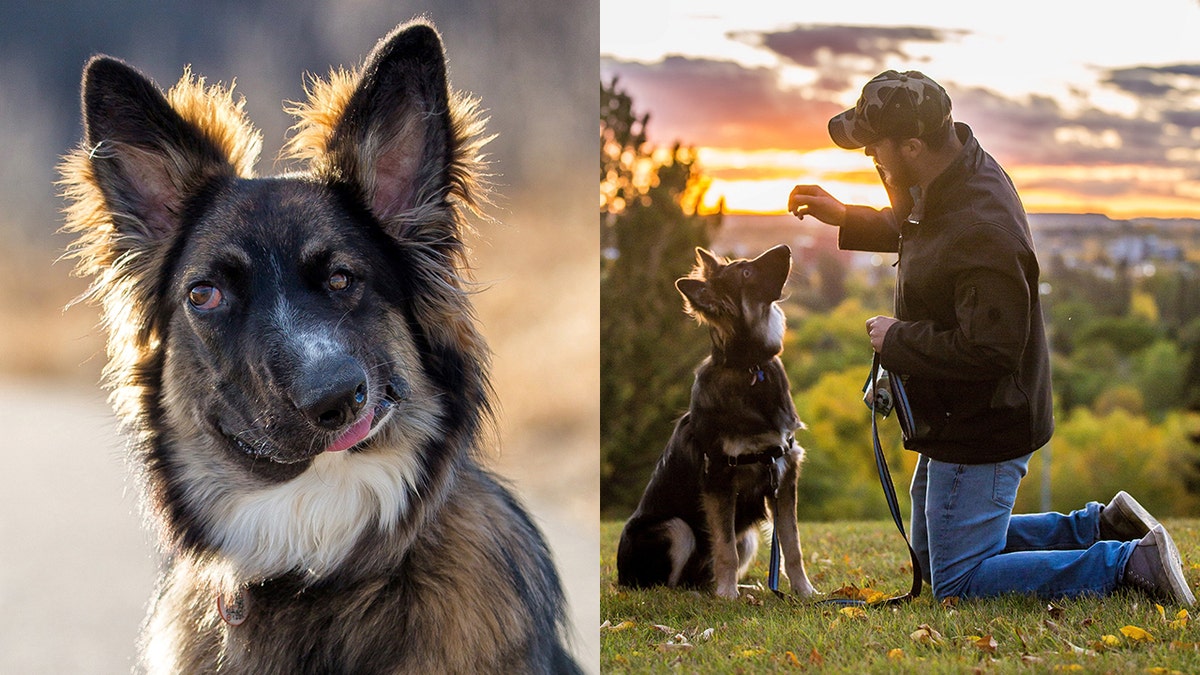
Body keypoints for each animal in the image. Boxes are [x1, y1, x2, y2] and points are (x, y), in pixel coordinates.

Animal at [619, 243, 816, 595]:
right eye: (746, 272)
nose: (786, 247)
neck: (751, 367)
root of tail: (620, 579)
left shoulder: (783, 476)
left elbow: (792, 545)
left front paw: (805, 593)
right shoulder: (720, 479)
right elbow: (724, 549)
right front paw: (726, 597)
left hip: (747, 537)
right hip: (676, 528)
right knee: (670, 585)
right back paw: (707, 594)